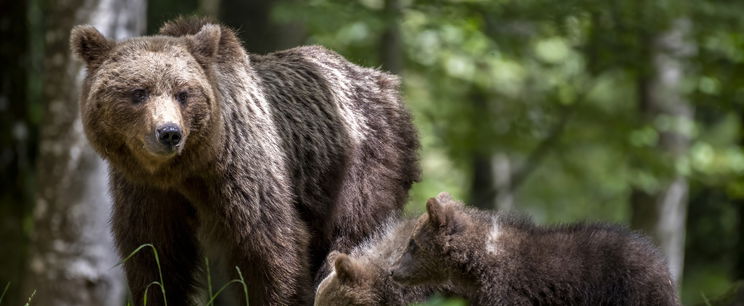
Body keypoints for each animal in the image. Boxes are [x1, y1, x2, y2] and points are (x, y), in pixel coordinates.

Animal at [70, 17, 418, 306]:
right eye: (139, 92)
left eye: (183, 93)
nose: (169, 133)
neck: (185, 170)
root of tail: (384, 82)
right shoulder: (145, 191)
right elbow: (155, 256)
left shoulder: (242, 169)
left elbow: (269, 248)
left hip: (360, 162)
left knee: (356, 234)